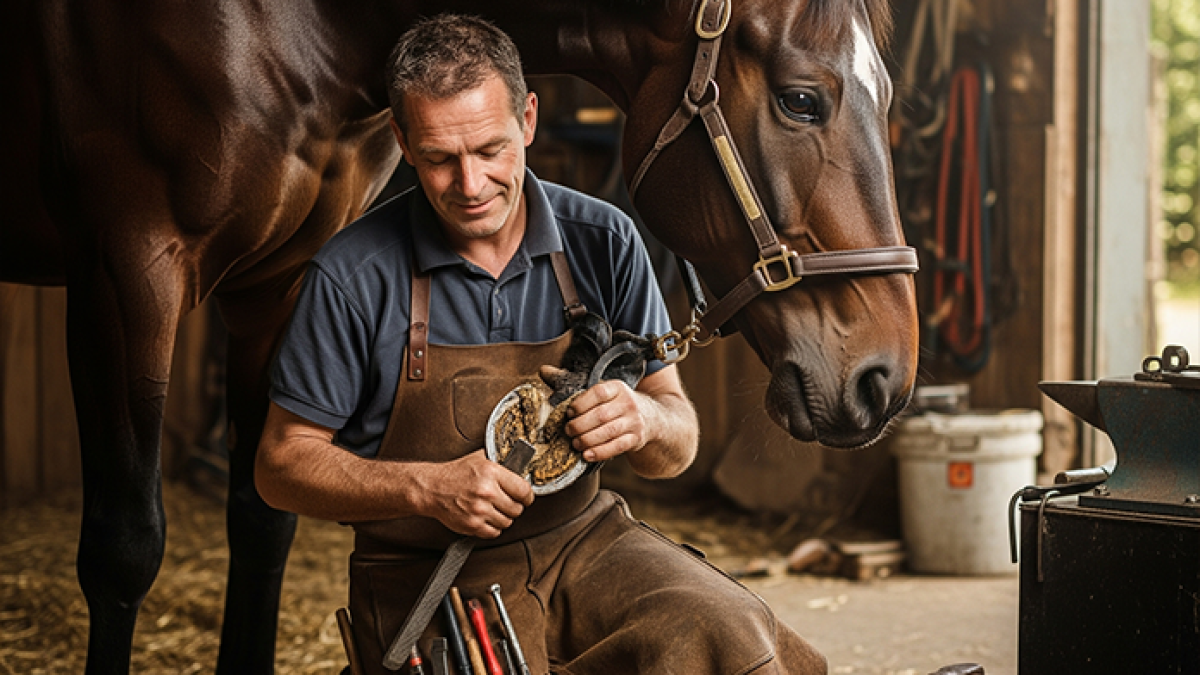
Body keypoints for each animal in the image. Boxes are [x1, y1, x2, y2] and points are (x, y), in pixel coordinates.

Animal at [2, 0, 917, 672]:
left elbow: (262, 517)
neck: (299, 22)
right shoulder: (126, 273)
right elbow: (123, 548)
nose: (885, 379)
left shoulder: (282, 282)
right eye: (802, 98)